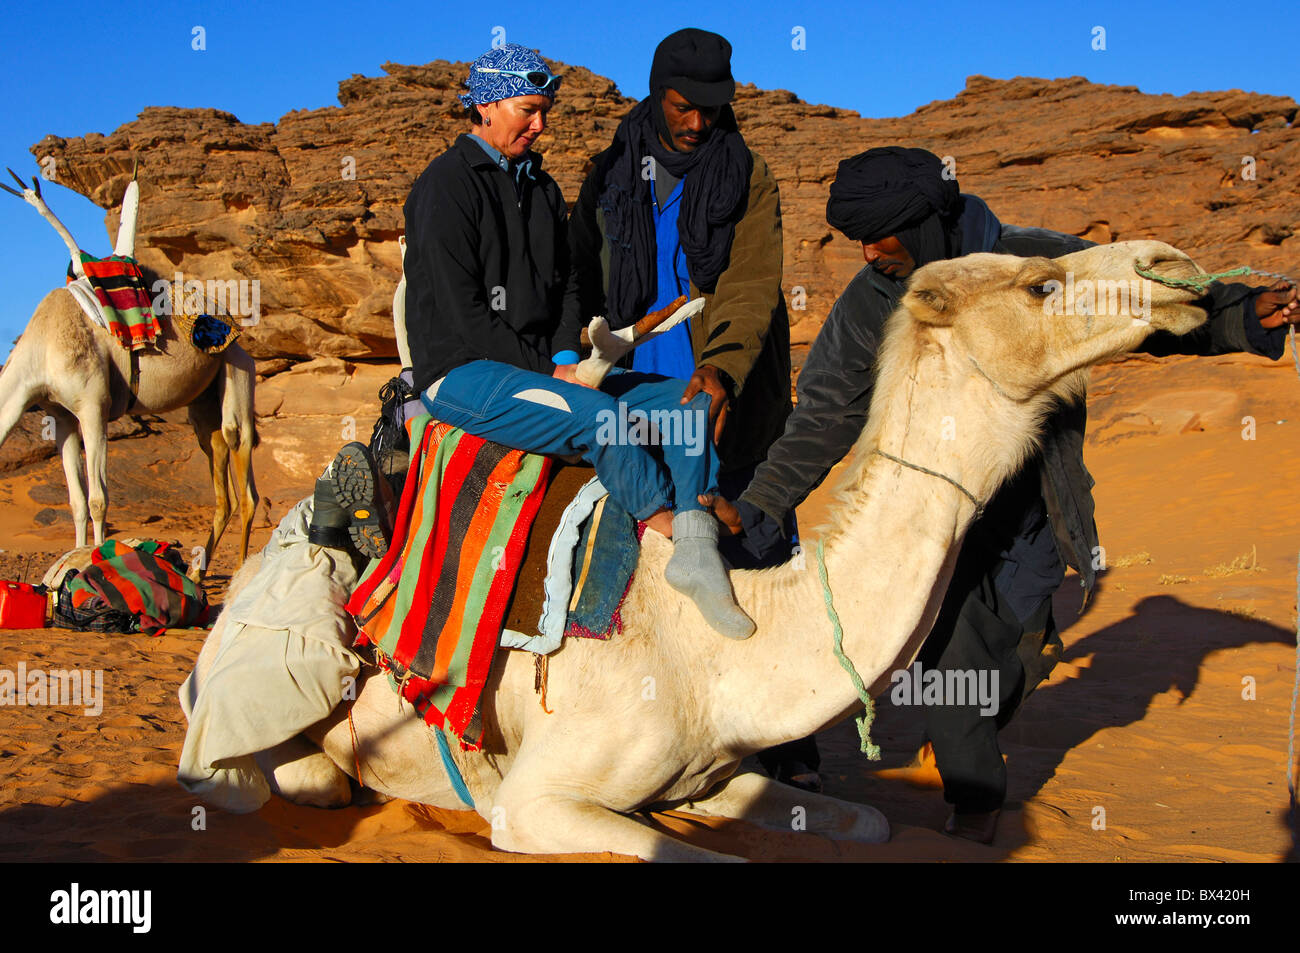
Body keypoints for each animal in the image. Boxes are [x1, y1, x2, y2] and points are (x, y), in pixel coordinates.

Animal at [0, 169, 258, 572]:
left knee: (242, 468)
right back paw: (198, 573)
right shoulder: (61, 416)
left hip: (238, 373)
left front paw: (93, 561)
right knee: (220, 475)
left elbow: (98, 499)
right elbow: (76, 502)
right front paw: (69, 560)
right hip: (204, 403)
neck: (42, 348)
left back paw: (240, 570)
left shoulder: (93, 406)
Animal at [188, 239, 1211, 863]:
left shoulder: (721, 765)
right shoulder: (537, 797)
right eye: (1040, 281)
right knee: (291, 771)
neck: (721, 650)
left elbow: (871, 817)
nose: (1172, 264)